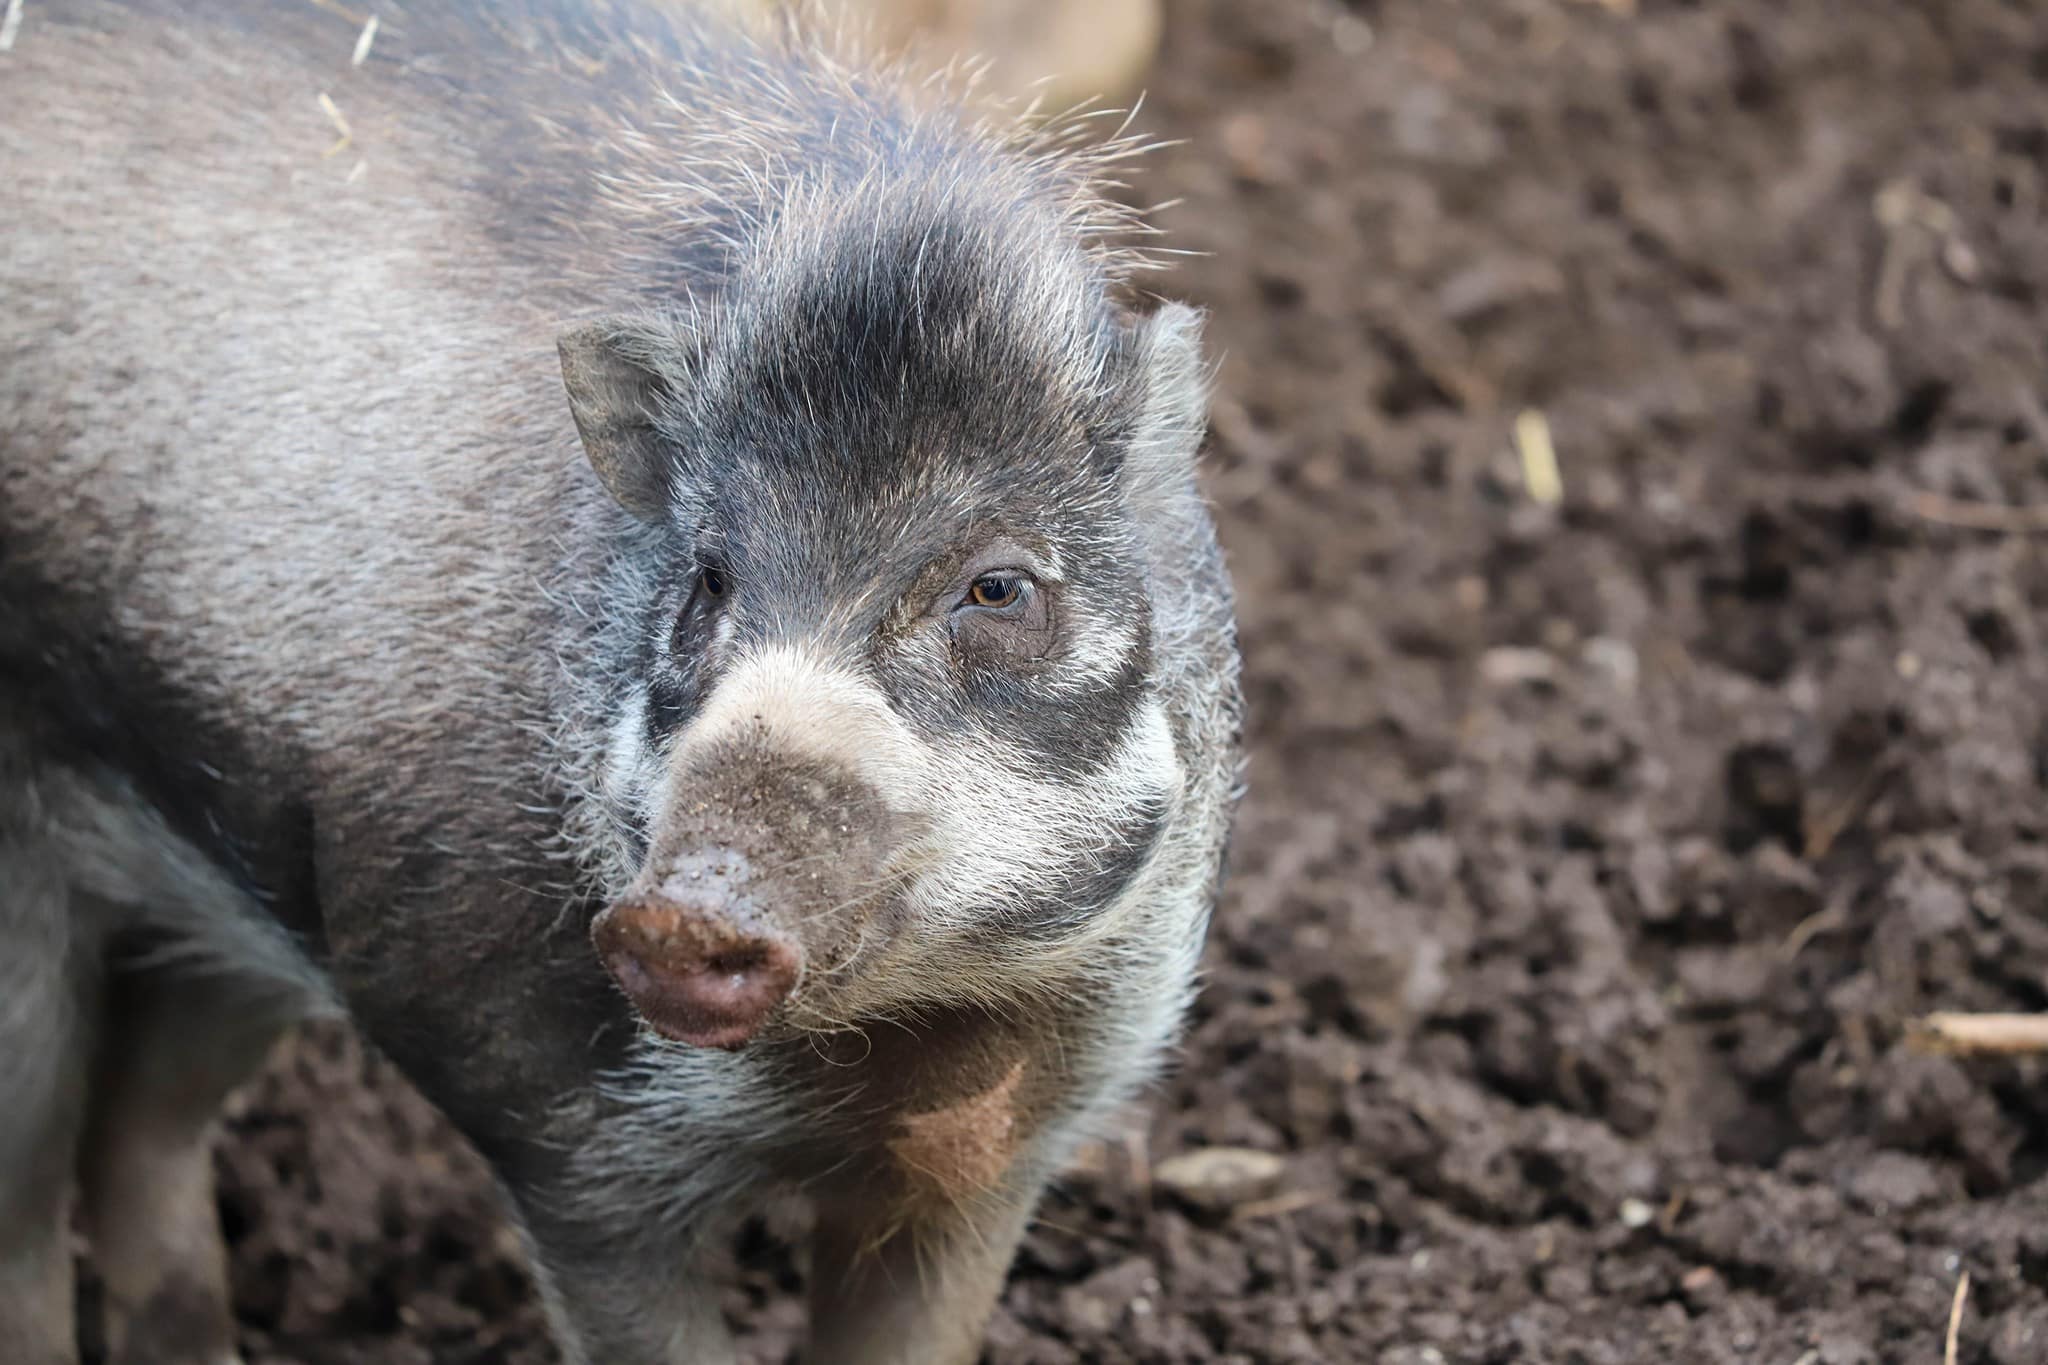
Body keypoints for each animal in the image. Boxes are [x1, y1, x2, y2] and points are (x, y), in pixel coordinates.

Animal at [0, 2, 1242, 1362]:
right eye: (706, 576)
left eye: (1000, 588)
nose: (676, 915)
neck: (895, 1046)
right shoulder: (556, 1125)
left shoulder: (1006, 1143)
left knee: (143, 1129)